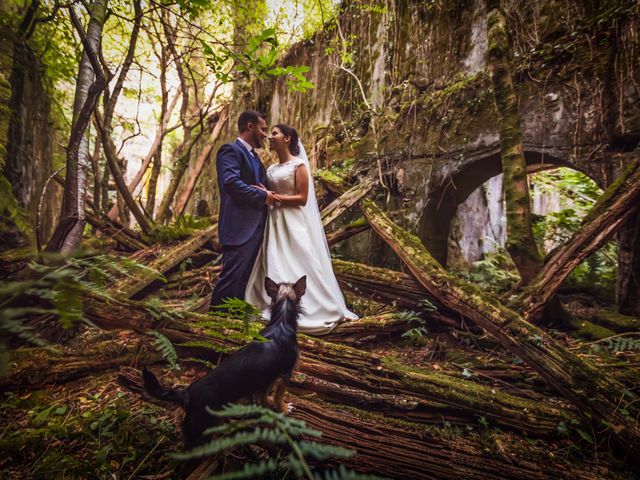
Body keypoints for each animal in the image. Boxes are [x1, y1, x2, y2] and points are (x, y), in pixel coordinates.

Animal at [143, 276, 308, 448]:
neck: (281, 320)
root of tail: (187, 396)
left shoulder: (267, 379)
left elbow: (265, 394)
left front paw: (268, 402)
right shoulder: (286, 374)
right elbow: (278, 396)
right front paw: (284, 408)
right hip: (200, 434)